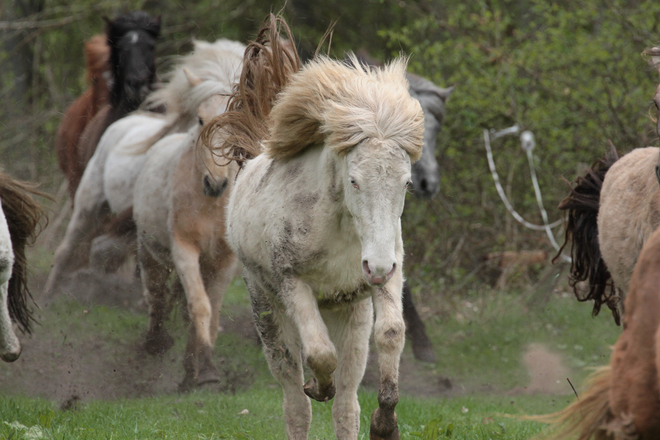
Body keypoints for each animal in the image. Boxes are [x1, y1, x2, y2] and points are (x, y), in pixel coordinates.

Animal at [202, 17, 422, 440]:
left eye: (406, 183)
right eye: (354, 180)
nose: (377, 266)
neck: (340, 230)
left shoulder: (387, 272)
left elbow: (391, 333)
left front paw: (386, 423)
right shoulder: (292, 283)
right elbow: (319, 353)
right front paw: (318, 385)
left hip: (351, 313)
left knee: (347, 404)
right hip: (268, 310)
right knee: (295, 401)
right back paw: (310, 390)